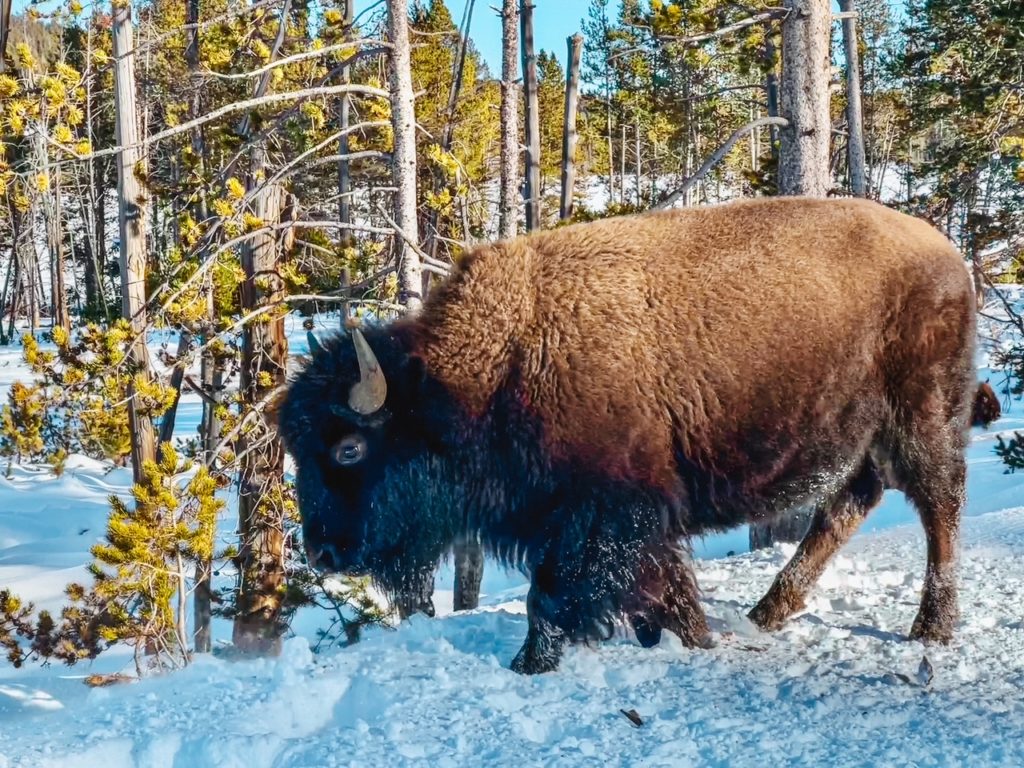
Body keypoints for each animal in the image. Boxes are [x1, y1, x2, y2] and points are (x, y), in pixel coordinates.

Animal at [278, 196, 974, 671]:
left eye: (348, 447)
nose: (322, 553)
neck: (486, 374)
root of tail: (945, 252)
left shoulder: (603, 516)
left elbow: (551, 600)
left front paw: (530, 664)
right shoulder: (623, 524)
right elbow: (660, 592)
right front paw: (690, 640)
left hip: (922, 417)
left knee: (938, 505)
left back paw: (932, 627)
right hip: (861, 435)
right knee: (848, 505)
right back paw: (765, 614)